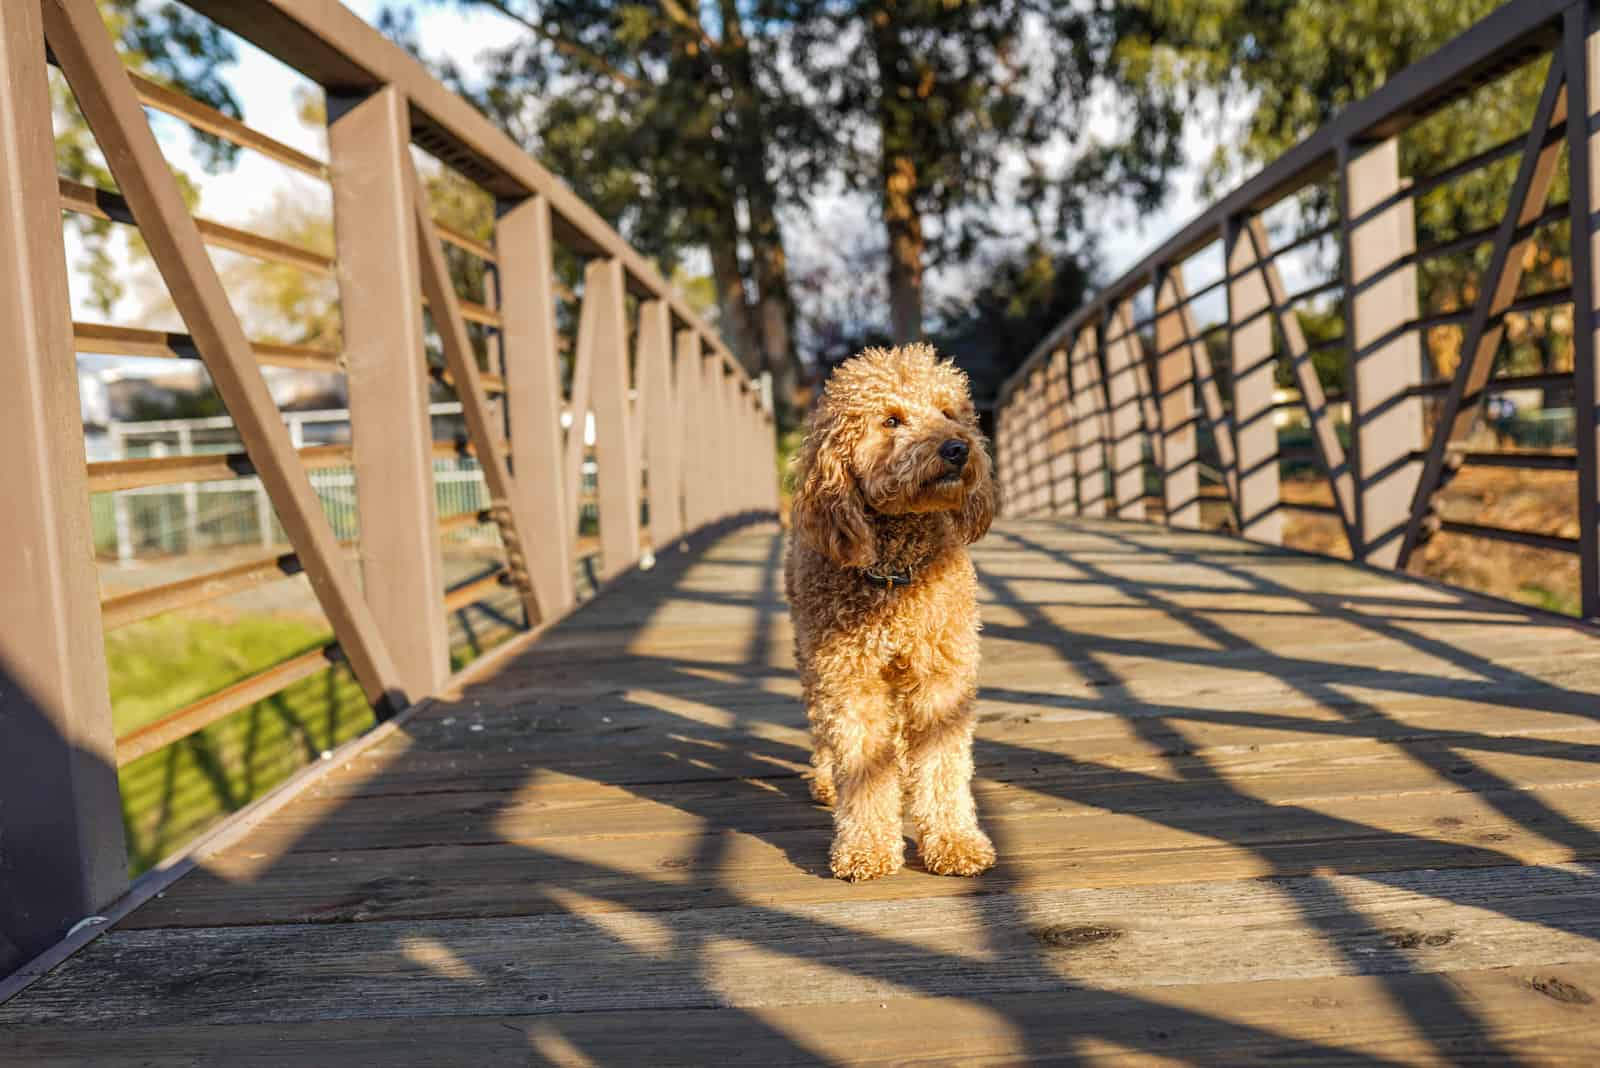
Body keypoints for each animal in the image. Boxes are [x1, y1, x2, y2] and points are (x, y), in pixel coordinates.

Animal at [784, 343, 992, 882]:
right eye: (892, 420)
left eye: (948, 412)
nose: (957, 448)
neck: (895, 573)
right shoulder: (848, 679)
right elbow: (861, 764)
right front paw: (866, 848)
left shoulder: (941, 674)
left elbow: (941, 764)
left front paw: (955, 842)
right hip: (811, 658)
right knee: (822, 728)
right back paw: (827, 780)